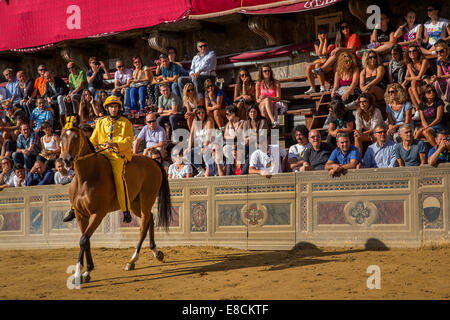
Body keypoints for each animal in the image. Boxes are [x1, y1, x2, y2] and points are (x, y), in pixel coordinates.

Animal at [60, 123, 171, 284]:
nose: (66, 159)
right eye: (62, 137)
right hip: (135, 204)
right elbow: (86, 240)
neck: (87, 177)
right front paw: (87, 271)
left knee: (143, 227)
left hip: (147, 199)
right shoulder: (81, 215)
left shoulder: (98, 214)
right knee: (150, 218)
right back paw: (156, 252)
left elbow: (83, 240)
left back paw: (132, 261)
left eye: (76, 137)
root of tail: (152, 161)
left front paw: (78, 274)